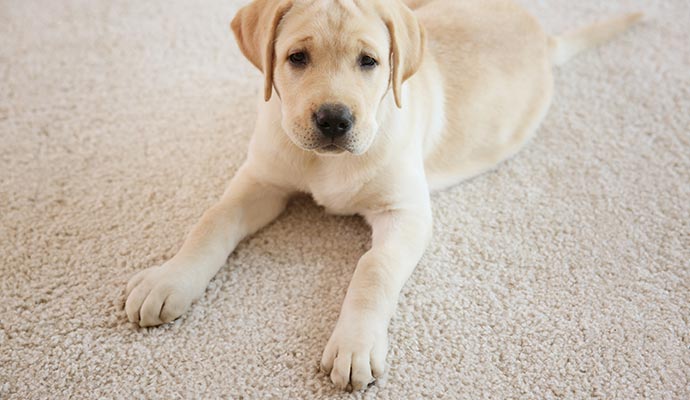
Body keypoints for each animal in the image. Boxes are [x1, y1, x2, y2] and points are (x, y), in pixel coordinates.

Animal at [123, 0, 640, 390]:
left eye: (369, 62)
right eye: (297, 58)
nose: (334, 120)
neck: (327, 163)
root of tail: (542, 35)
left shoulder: (405, 214)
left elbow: (374, 268)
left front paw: (355, 345)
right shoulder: (260, 181)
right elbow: (211, 221)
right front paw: (169, 280)